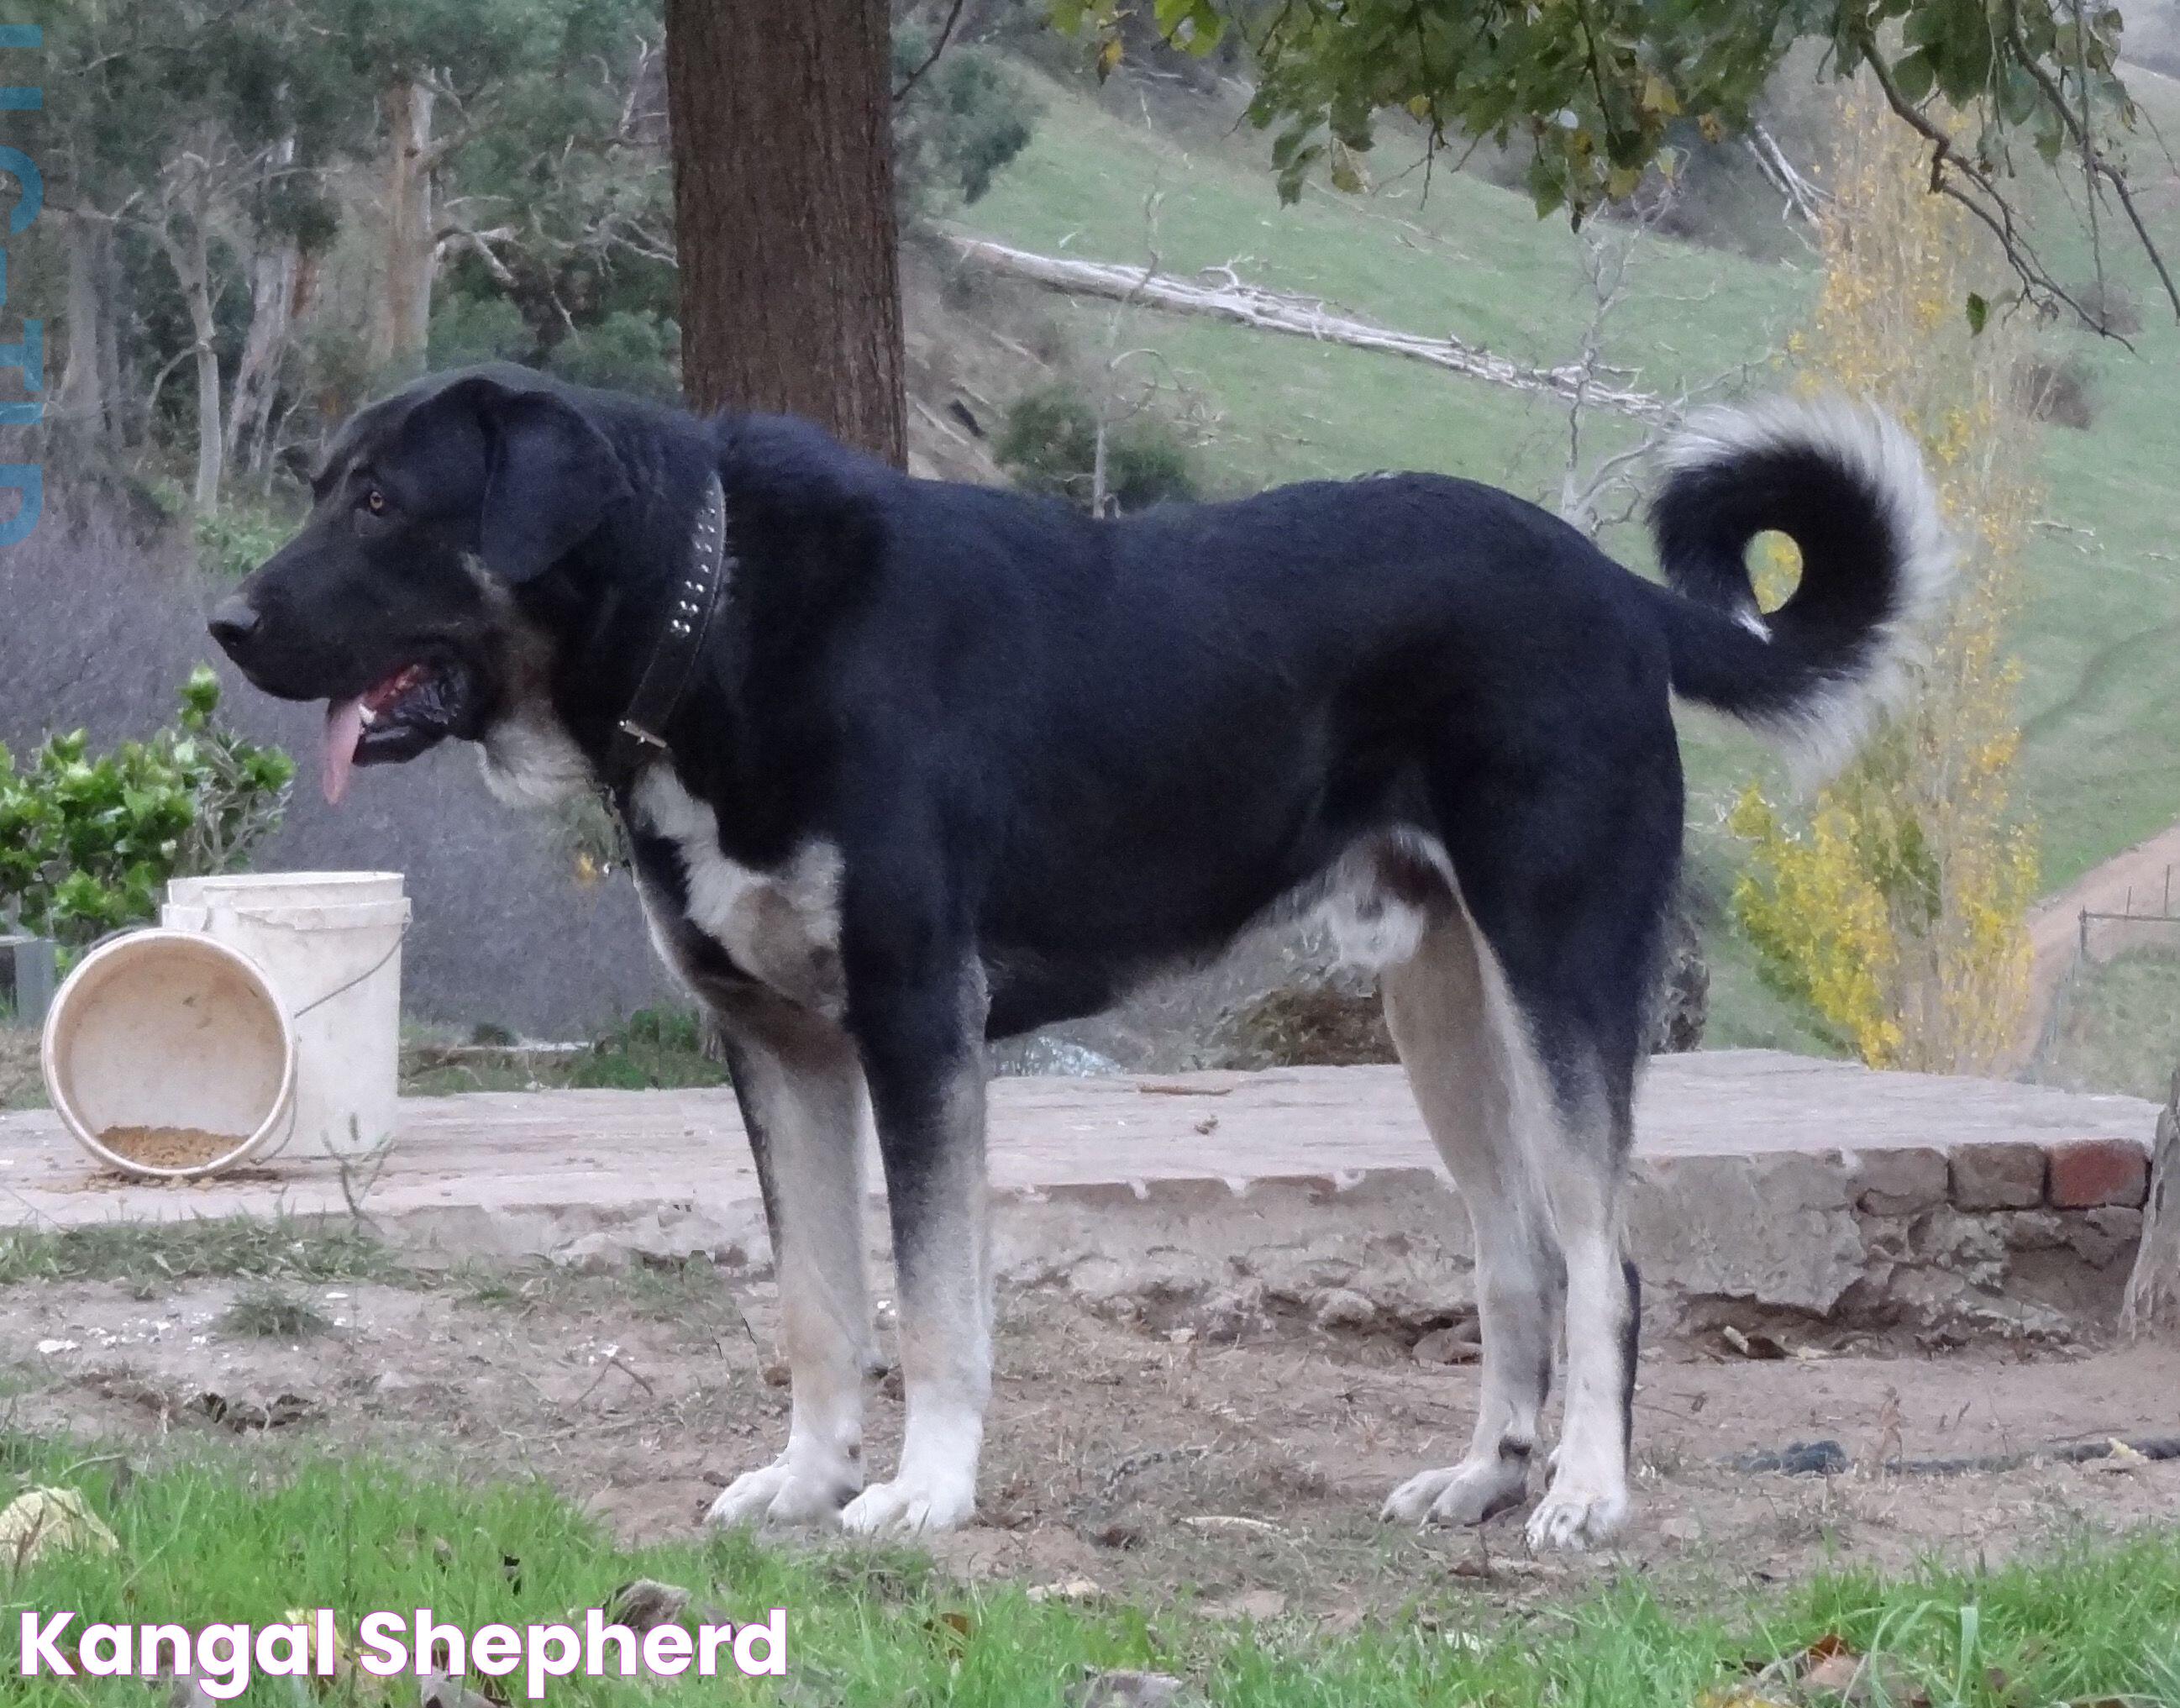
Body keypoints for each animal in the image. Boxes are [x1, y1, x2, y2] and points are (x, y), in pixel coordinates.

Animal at [213, 360, 1953, 1553]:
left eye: (383, 502)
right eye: (325, 482)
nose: (228, 622)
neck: (715, 625)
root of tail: (1611, 586)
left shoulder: (918, 1018)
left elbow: (934, 1297)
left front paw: (924, 1493)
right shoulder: (774, 1039)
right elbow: (819, 1305)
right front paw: (809, 1477)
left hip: (1558, 964)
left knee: (1606, 1259)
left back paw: (1585, 1491)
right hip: (1438, 1003)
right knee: (1515, 1248)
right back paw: (1484, 1476)